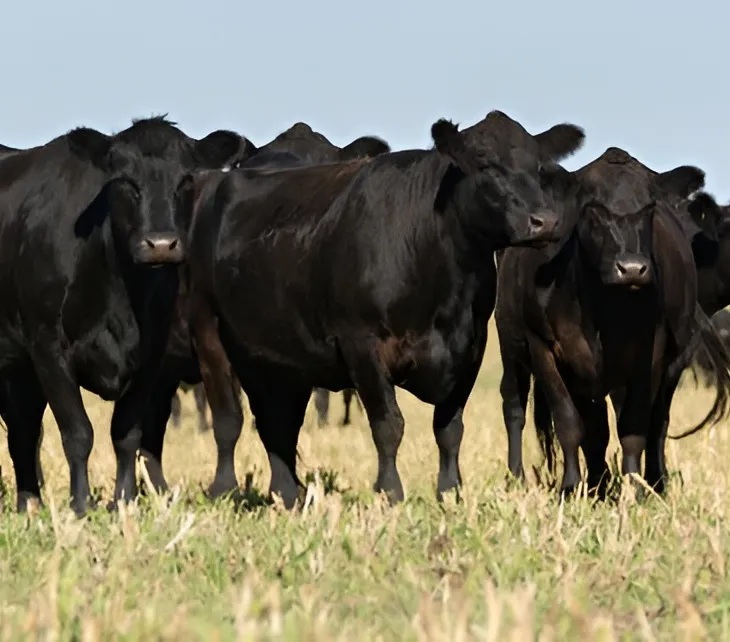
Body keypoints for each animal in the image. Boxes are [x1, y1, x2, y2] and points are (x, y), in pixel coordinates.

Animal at [0, 115, 248, 514]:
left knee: (23, 429)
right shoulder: (48, 347)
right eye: (124, 182)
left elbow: (127, 433)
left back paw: (29, 503)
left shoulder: (150, 357)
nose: (160, 244)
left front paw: (124, 500)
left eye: (186, 180)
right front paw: (80, 505)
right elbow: (78, 433)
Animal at [182, 109, 586, 509]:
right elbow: (389, 424)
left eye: (538, 167)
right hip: (208, 330)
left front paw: (450, 492)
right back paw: (224, 489)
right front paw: (390, 492)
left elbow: (449, 428)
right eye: (486, 163)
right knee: (228, 419)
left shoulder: (470, 348)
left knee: (278, 425)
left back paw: (287, 494)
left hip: (276, 356)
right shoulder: (362, 344)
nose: (545, 221)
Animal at [495, 147, 730, 497]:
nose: (632, 268)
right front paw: (570, 488)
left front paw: (636, 489)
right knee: (514, 406)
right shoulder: (543, 348)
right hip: (510, 343)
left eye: (649, 209)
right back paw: (517, 479)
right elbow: (568, 422)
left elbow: (633, 426)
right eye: (592, 209)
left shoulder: (653, 355)